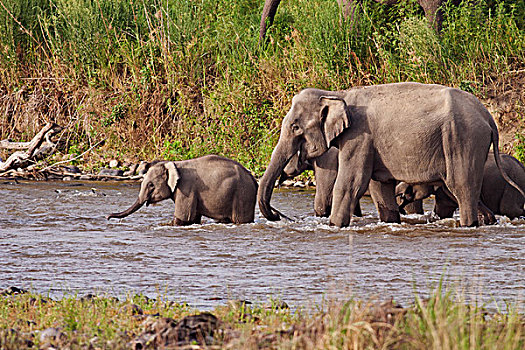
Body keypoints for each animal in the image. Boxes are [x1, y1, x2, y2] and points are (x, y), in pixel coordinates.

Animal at [105, 155, 256, 224]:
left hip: (243, 195)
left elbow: (183, 218)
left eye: (151, 185)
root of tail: (253, 178)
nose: (107, 217)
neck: (174, 163)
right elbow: (193, 219)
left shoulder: (186, 189)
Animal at [256, 83, 520, 228]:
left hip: (463, 139)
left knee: (462, 187)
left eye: (295, 127)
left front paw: (334, 226)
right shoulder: (370, 144)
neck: (337, 94)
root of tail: (488, 117)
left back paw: (468, 225)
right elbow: (379, 186)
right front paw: (391, 222)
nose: (277, 215)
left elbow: (349, 183)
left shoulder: (358, 137)